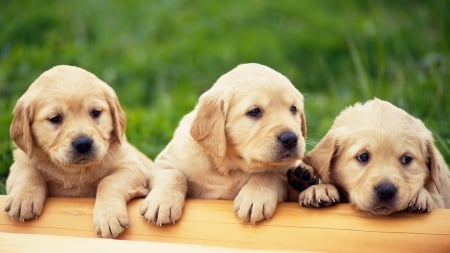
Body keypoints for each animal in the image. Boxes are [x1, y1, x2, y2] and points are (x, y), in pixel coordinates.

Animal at [3, 65, 186, 237]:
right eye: (55, 118)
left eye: (95, 112)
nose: (83, 143)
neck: (76, 171)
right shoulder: (20, 161)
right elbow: (28, 172)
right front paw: (22, 199)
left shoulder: (133, 168)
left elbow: (107, 181)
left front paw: (109, 217)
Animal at [143, 63, 306, 223]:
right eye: (254, 111)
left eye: (293, 109)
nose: (290, 138)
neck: (230, 166)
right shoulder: (165, 162)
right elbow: (174, 174)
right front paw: (162, 203)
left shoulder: (284, 171)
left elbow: (269, 174)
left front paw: (256, 198)